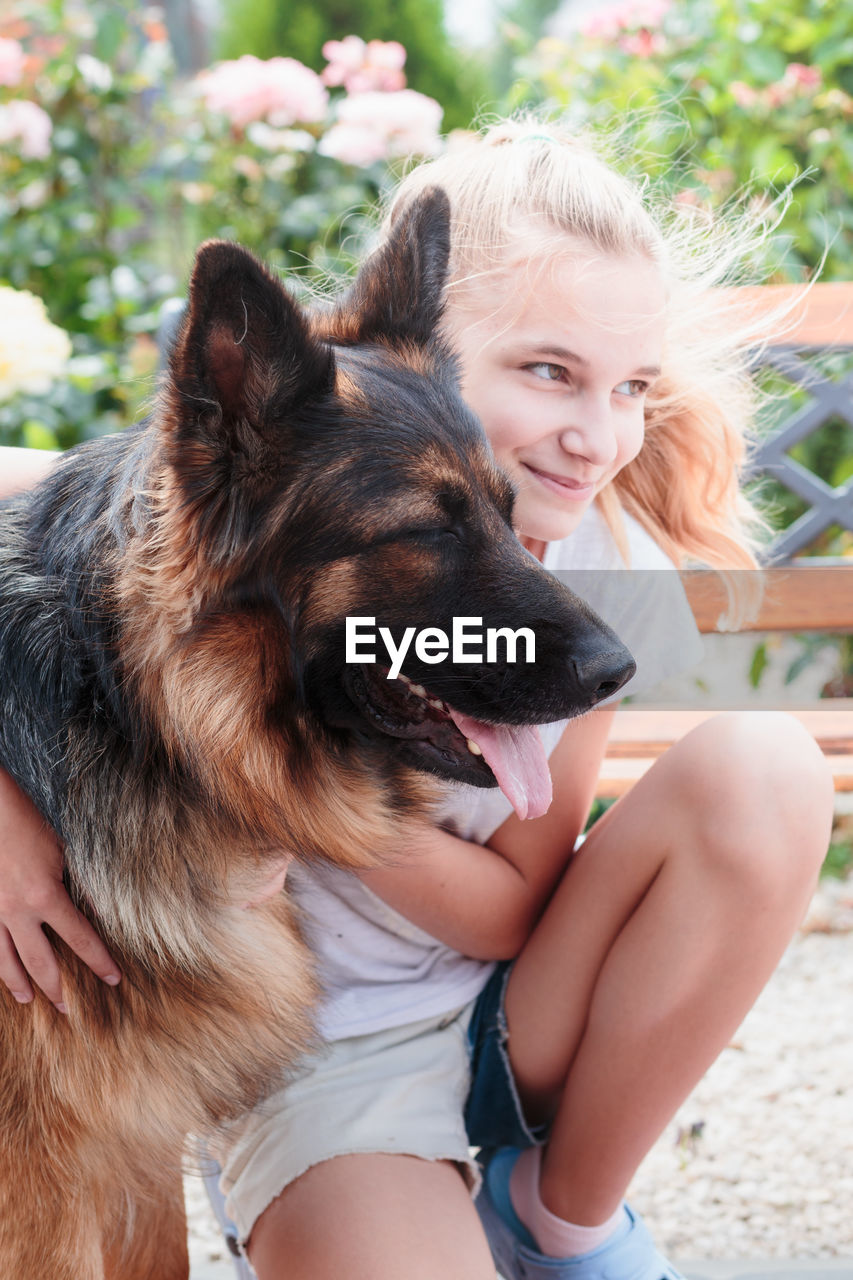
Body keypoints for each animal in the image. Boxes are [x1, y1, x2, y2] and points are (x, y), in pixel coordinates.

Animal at [0, 192, 630, 1280]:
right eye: (426, 527)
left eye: (508, 512)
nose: (619, 671)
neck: (123, 717)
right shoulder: (51, 1173)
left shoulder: (126, 1143)